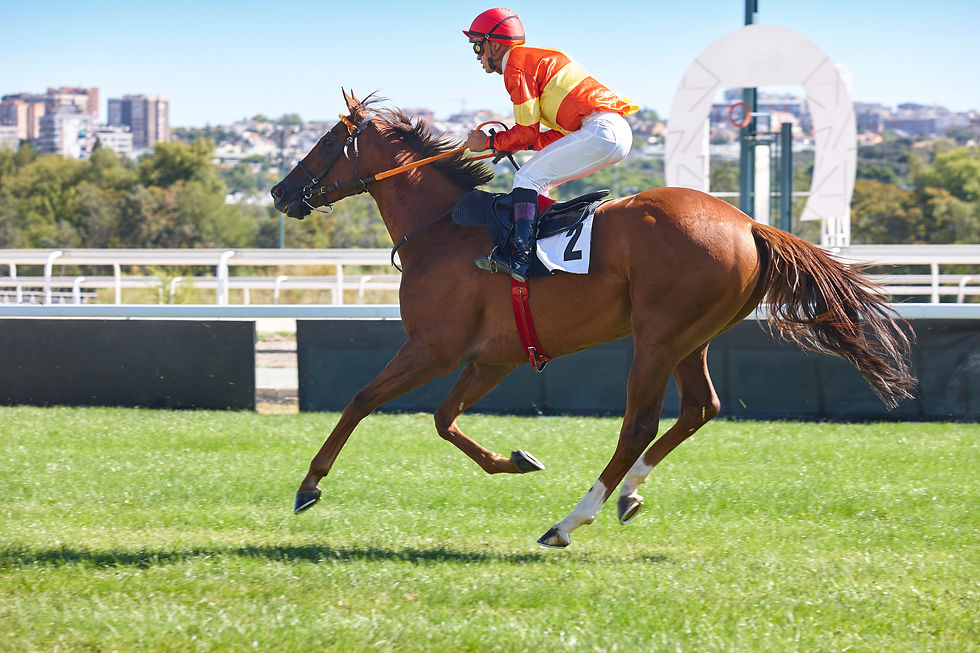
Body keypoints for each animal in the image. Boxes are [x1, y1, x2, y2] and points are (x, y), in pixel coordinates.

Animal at [271, 90, 915, 549]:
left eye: (326, 142)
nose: (279, 192)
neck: (444, 229)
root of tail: (749, 223)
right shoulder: (492, 358)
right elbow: (443, 419)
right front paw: (514, 460)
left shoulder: (434, 347)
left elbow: (361, 399)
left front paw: (309, 484)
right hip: (689, 339)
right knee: (700, 408)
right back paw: (627, 496)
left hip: (656, 338)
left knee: (639, 425)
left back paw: (568, 522)